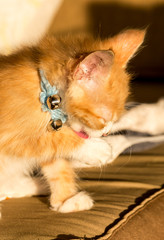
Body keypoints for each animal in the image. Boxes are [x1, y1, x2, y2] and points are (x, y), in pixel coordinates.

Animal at [0, 29, 145, 212]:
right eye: (103, 119)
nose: (106, 133)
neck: (45, 94)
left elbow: (57, 165)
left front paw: (65, 200)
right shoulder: (9, 135)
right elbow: (49, 141)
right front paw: (95, 150)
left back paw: (39, 185)